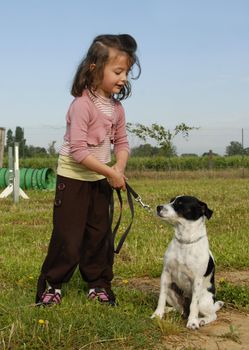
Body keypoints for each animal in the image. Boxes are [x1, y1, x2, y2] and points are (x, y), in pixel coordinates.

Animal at [152, 196, 224, 330]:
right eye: (171, 200)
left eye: (180, 204)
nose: (158, 207)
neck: (185, 241)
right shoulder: (165, 274)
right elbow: (161, 299)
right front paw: (158, 314)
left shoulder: (197, 280)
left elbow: (194, 305)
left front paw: (193, 322)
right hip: (171, 291)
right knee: (180, 309)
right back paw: (168, 310)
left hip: (203, 301)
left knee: (211, 314)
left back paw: (201, 320)